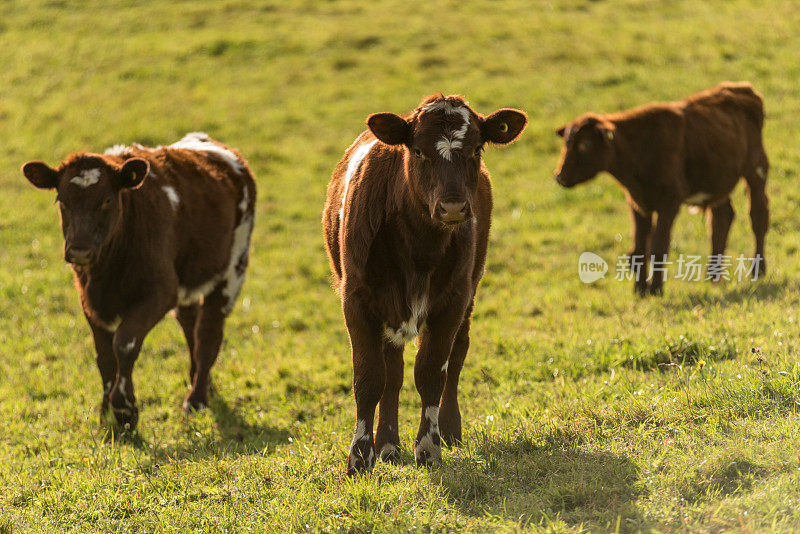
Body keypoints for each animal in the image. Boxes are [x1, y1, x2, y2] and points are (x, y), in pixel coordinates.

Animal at [21, 134, 255, 432]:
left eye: (107, 200)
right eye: (62, 200)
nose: (80, 251)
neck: (107, 270)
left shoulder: (160, 292)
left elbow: (124, 343)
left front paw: (124, 410)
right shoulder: (89, 300)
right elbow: (104, 356)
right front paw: (106, 411)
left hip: (232, 268)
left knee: (208, 333)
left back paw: (197, 399)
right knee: (190, 324)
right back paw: (201, 384)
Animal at [322, 94, 528, 476]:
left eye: (476, 148)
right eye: (417, 150)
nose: (453, 207)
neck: (418, 247)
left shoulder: (452, 301)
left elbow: (432, 372)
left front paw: (429, 447)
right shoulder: (356, 301)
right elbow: (369, 377)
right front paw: (360, 456)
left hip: (470, 289)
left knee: (456, 354)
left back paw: (448, 430)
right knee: (392, 370)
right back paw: (387, 444)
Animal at [552, 81, 768, 296]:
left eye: (586, 144)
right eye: (566, 143)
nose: (560, 176)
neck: (639, 149)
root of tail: (740, 87)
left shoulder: (670, 201)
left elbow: (659, 246)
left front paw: (656, 289)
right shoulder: (638, 203)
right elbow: (639, 249)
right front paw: (640, 290)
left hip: (756, 169)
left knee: (758, 217)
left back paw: (758, 270)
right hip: (718, 178)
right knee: (721, 219)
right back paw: (713, 277)